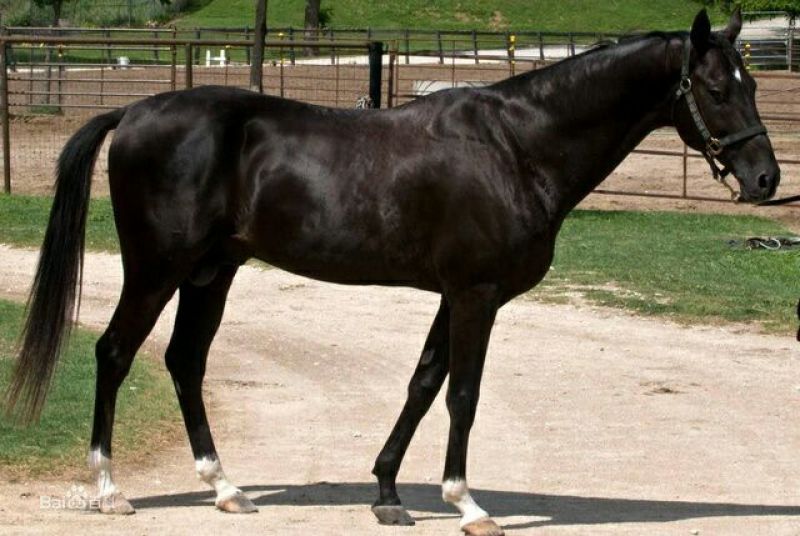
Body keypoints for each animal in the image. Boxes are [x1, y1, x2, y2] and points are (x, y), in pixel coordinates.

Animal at [6, 8, 779, 536]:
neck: (515, 146)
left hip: (210, 274)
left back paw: (225, 488)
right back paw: (110, 490)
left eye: (752, 82)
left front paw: (386, 493)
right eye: (716, 87)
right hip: (156, 269)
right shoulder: (476, 295)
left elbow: (424, 382)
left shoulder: (455, 293)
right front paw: (467, 504)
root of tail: (134, 109)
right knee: (114, 353)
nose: (767, 178)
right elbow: (463, 393)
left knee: (184, 362)